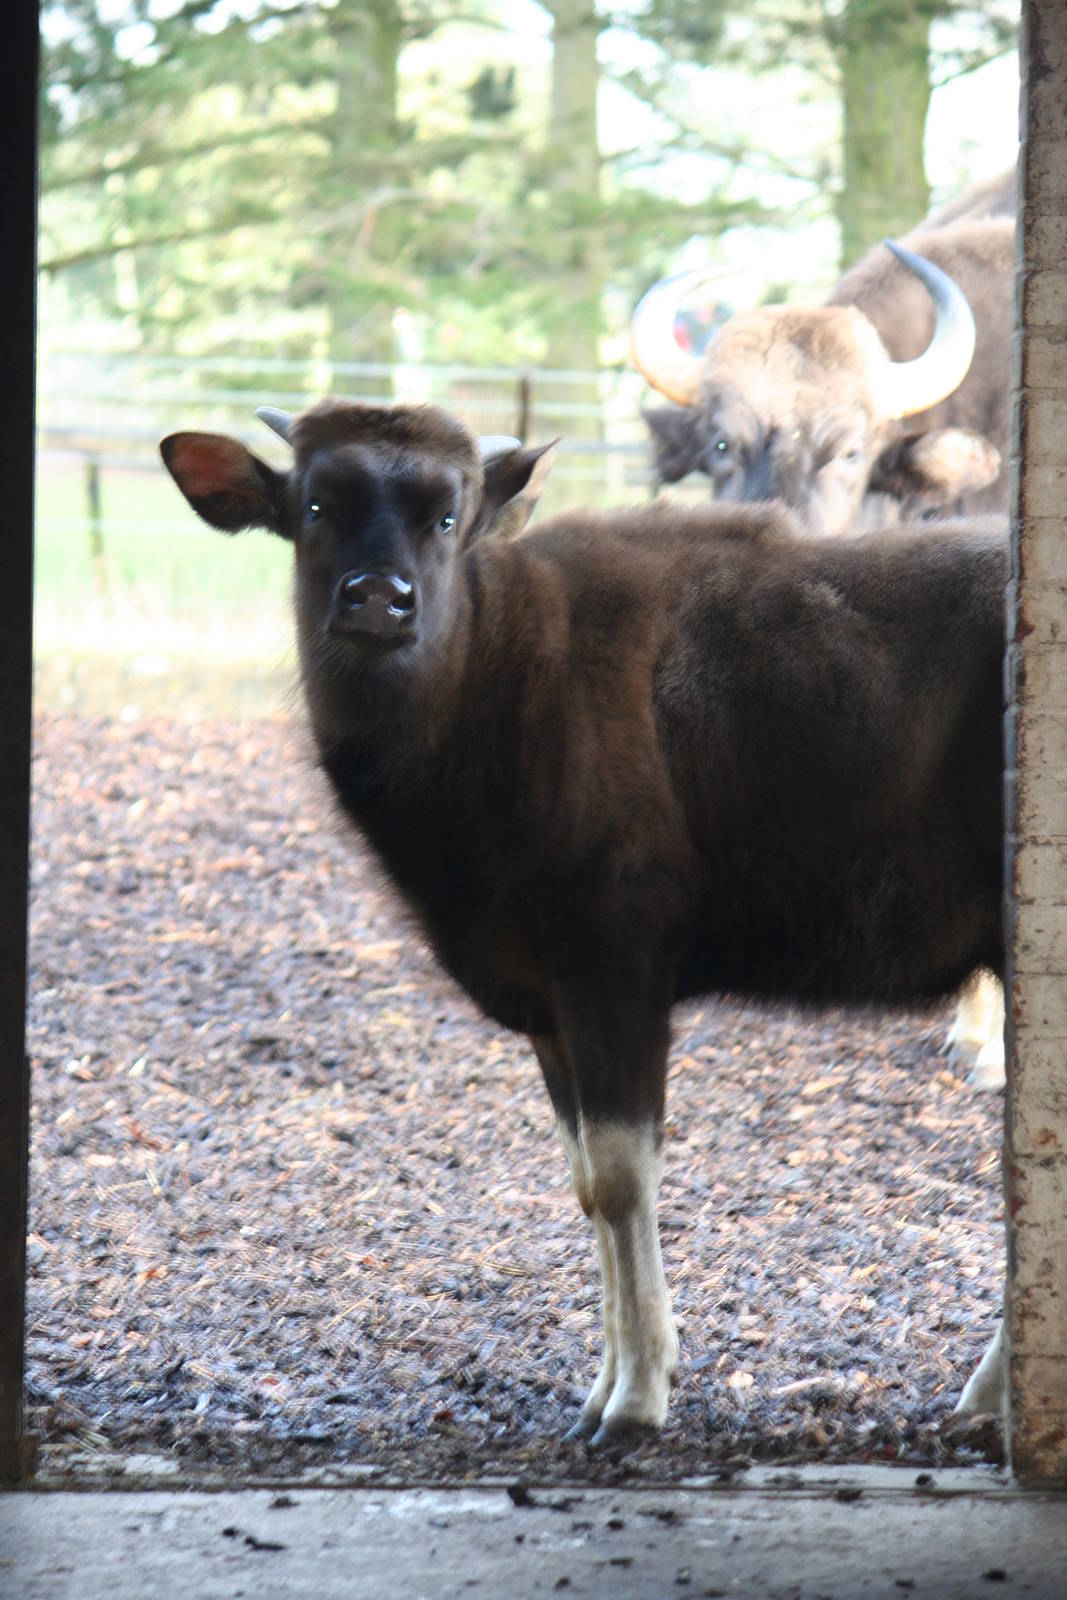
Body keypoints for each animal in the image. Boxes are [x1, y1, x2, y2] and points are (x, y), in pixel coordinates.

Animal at [161, 398, 1007, 1442]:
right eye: (316, 504)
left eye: (449, 516)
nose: (377, 601)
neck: (496, 687)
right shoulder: (550, 1002)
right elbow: (581, 1184)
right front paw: (605, 1382)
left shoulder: (618, 973)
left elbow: (620, 1178)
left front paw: (639, 1395)